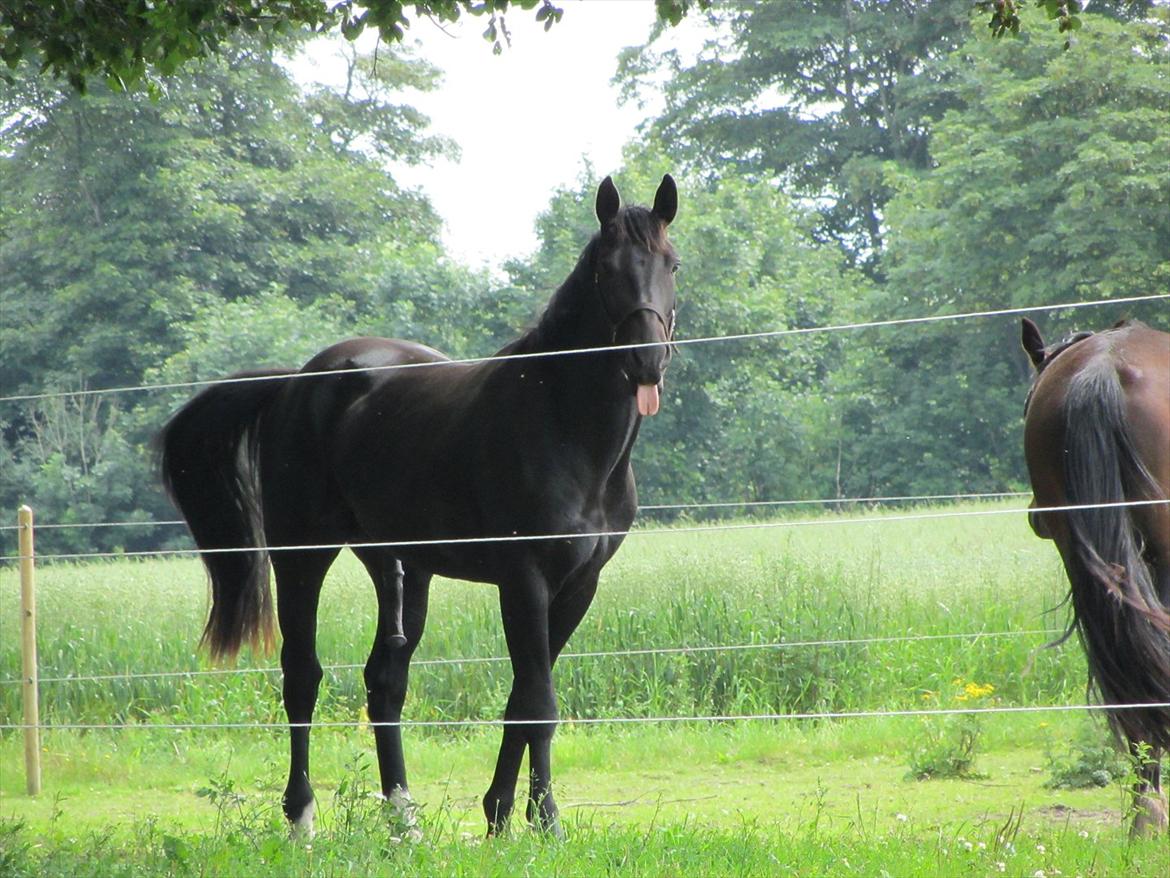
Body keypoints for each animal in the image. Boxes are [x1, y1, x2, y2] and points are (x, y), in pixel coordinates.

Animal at [160, 173, 683, 838]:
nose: (647, 362)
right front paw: (545, 823)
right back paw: (302, 818)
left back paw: (402, 818)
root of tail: (295, 382)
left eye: (672, 264)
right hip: (304, 556)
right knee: (302, 676)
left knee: (384, 683)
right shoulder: (525, 580)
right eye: (606, 267)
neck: (561, 424)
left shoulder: (577, 585)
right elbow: (538, 702)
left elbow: (521, 697)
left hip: (399, 566)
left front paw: (500, 815)